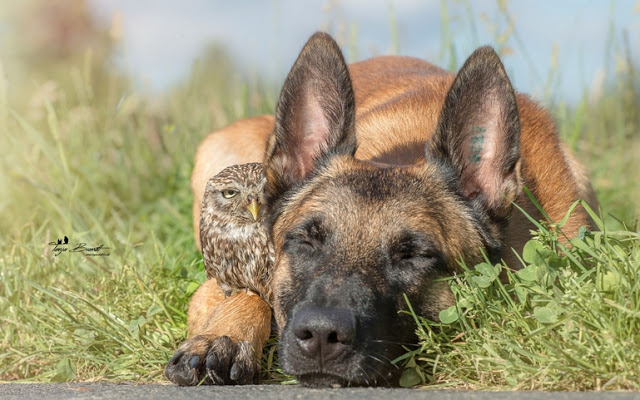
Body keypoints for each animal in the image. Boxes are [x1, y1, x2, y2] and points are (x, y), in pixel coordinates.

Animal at [164, 31, 596, 388]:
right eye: (305, 241)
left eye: (415, 254)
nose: (321, 335)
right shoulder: (222, 277)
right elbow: (246, 292)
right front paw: (223, 336)